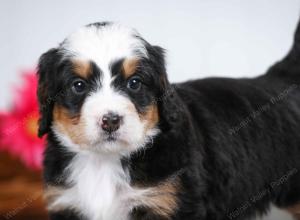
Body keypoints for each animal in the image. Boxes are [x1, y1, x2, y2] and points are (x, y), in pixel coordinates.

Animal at [37, 21, 300, 220]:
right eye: (78, 86)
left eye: (134, 83)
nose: (111, 120)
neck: (104, 162)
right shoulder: (67, 202)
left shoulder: (168, 203)